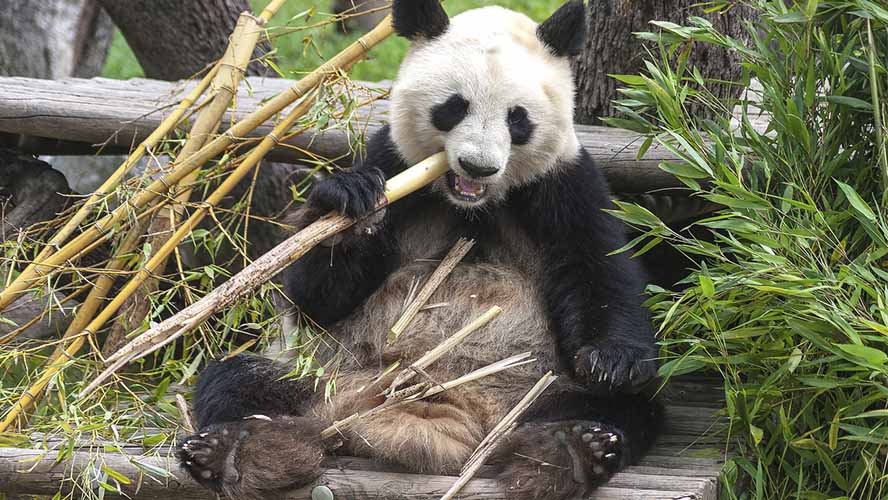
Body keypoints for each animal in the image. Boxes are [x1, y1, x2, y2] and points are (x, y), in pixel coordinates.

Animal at [179, 1, 660, 498]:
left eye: (518, 118)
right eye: (453, 107)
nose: (477, 166)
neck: (471, 204)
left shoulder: (564, 181)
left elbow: (597, 266)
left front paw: (611, 360)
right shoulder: (392, 162)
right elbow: (316, 302)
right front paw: (348, 206)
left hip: (534, 389)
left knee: (616, 407)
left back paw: (571, 451)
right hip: (321, 380)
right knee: (237, 382)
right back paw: (239, 454)